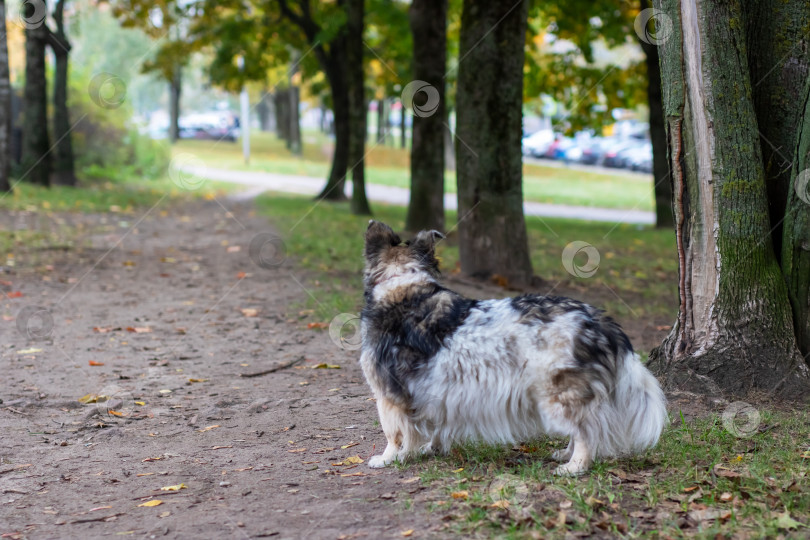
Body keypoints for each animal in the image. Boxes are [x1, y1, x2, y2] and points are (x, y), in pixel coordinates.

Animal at [358, 221, 664, 474]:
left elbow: (393, 434)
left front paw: (388, 459)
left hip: (557, 396)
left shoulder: (388, 395)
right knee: (581, 428)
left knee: (586, 431)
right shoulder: (435, 392)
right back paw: (565, 455)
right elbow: (432, 428)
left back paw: (574, 467)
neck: (402, 284)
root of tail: (601, 322)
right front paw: (428, 450)